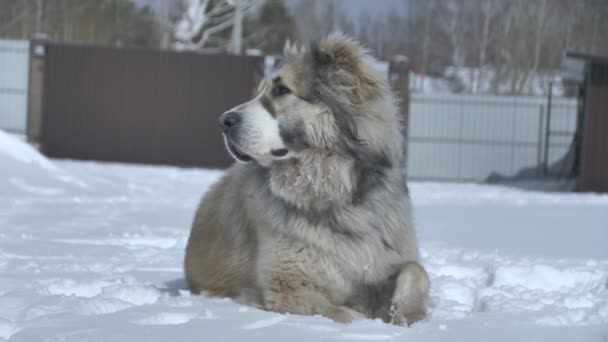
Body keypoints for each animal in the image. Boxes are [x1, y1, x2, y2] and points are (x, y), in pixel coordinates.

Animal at [184, 33, 428, 324]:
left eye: (281, 90)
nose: (223, 121)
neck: (338, 196)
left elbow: (416, 271)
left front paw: (405, 314)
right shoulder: (290, 288)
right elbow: (348, 314)